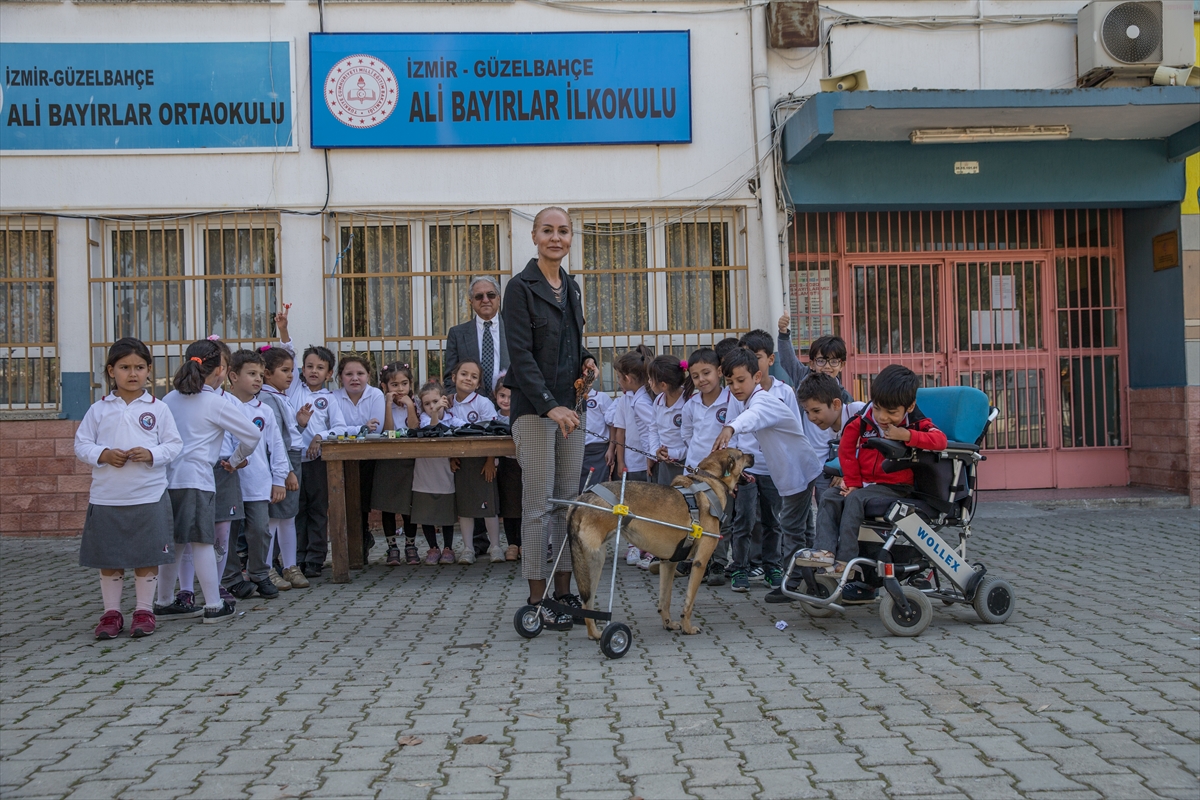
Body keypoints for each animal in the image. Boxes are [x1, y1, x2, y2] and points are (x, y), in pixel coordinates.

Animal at [568, 450, 753, 638]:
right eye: (741, 454)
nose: (753, 454)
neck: (710, 479)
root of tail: (582, 500)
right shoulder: (700, 562)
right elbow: (689, 603)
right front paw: (687, 628)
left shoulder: (668, 562)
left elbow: (665, 600)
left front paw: (668, 624)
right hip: (595, 558)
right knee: (587, 601)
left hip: (591, 565)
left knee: (586, 603)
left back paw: (594, 634)